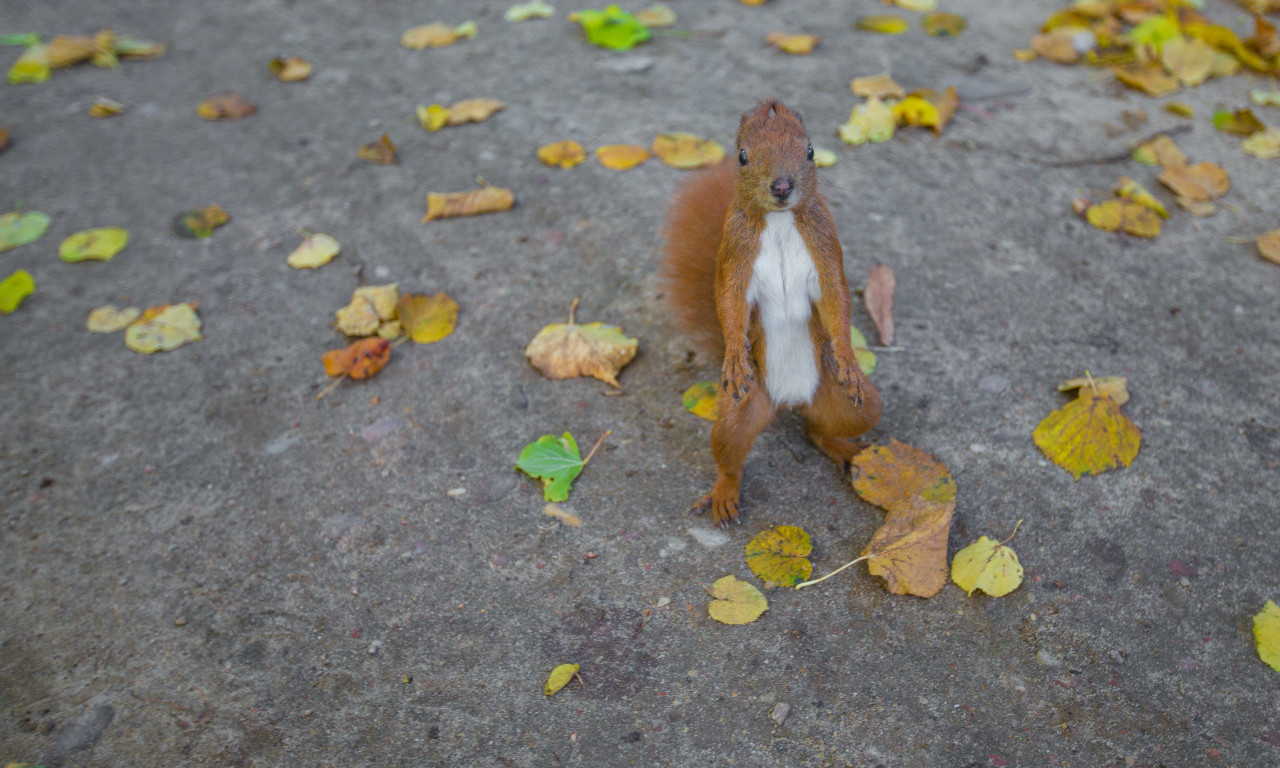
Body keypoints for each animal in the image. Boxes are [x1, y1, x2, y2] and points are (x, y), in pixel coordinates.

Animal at [660, 99, 880, 524]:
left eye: (810, 150)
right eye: (742, 156)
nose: (781, 186)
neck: (778, 221)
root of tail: (790, 400)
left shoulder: (825, 245)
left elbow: (836, 300)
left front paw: (847, 356)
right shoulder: (734, 252)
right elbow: (729, 303)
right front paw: (734, 355)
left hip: (854, 405)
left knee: (819, 429)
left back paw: (843, 448)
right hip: (739, 410)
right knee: (731, 453)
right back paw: (724, 493)